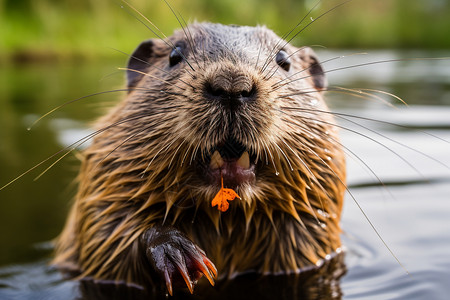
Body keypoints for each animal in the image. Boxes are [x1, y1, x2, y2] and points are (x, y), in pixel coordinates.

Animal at [52, 22, 346, 296]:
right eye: (174, 55)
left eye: (284, 60)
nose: (231, 85)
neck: (225, 220)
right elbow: (106, 239)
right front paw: (176, 253)